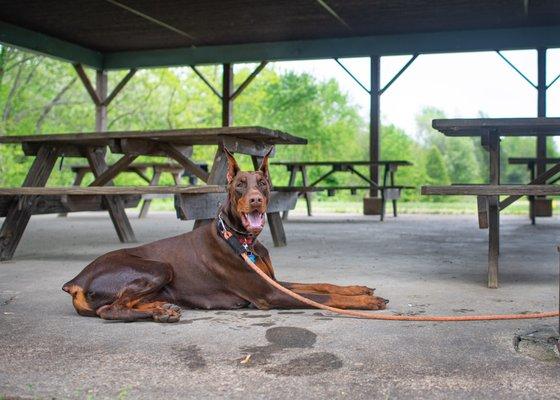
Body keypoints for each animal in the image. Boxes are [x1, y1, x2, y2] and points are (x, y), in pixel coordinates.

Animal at [61, 149, 384, 322]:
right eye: (240, 184)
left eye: (263, 182)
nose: (255, 200)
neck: (241, 239)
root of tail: (75, 280)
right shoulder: (268, 293)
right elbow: (323, 295)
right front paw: (367, 303)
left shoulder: (272, 280)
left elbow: (322, 284)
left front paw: (359, 289)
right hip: (158, 267)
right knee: (110, 310)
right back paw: (160, 313)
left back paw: (162, 309)